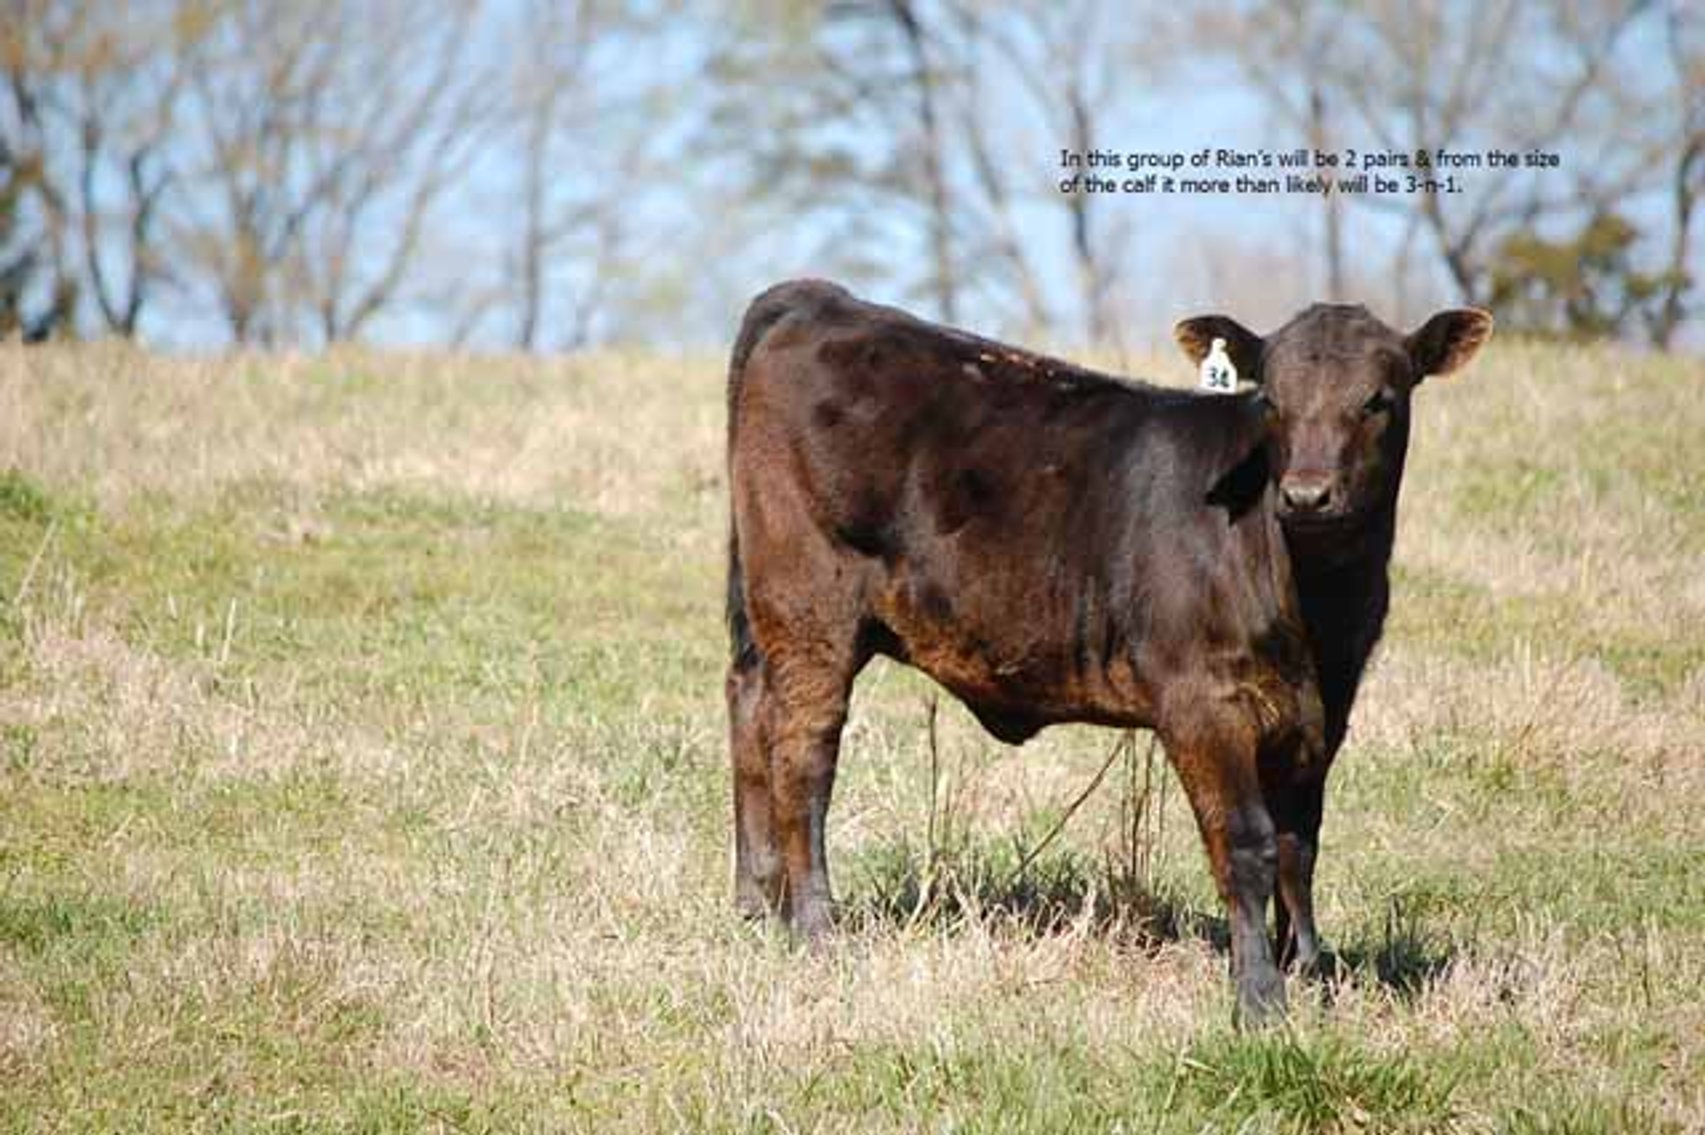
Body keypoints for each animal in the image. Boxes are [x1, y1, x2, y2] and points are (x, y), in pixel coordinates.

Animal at [723, 279, 1491, 1023]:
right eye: (1271, 399)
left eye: (1378, 399)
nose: (1305, 496)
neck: (1313, 604)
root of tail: (820, 298)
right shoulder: (1202, 704)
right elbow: (1247, 843)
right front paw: (1259, 1001)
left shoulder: (1322, 711)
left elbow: (1298, 847)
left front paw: (1308, 973)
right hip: (810, 610)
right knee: (803, 754)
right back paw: (816, 929)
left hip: (772, 627)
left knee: (748, 712)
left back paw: (758, 904)